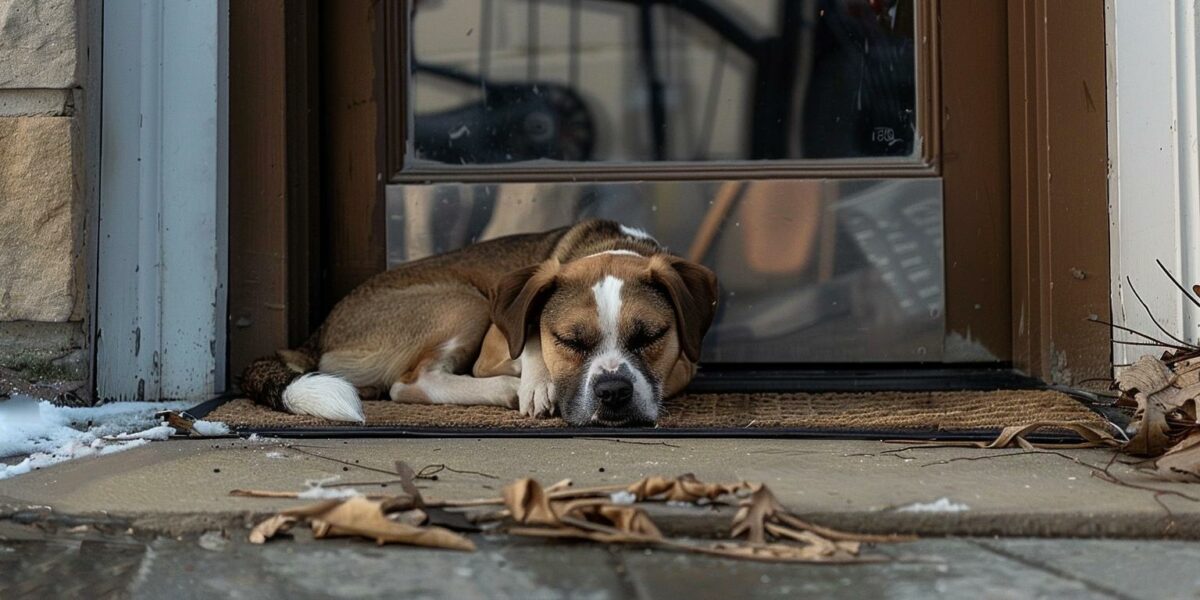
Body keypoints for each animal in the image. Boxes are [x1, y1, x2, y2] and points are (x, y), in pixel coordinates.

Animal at [238, 220, 715, 427]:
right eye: (569, 341)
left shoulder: (685, 366)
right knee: (409, 383)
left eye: (651, 336)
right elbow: (528, 332)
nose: (613, 392)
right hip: (467, 301)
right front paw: (536, 384)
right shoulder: (496, 340)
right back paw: (505, 389)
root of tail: (313, 338)